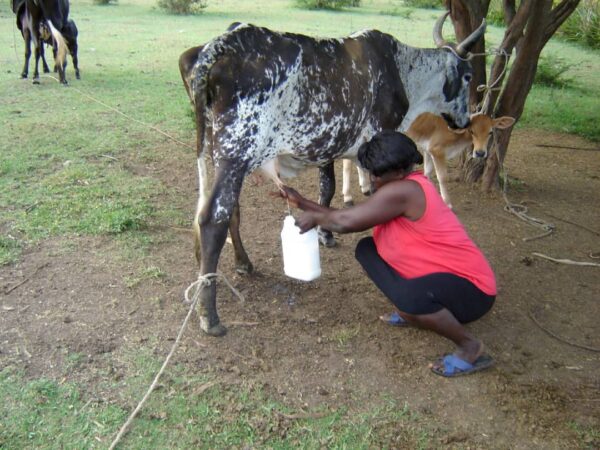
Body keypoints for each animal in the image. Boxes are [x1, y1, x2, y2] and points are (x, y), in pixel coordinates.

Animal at [184, 14, 488, 336]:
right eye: (468, 77)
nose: (464, 121)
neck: (402, 67)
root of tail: (221, 45)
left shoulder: (328, 144)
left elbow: (326, 189)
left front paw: (324, 234)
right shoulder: (381, 133)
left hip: (217, 154)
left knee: (226, 210)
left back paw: (239, 265)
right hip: (237, 152)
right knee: (213, 218)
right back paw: (209, 315)